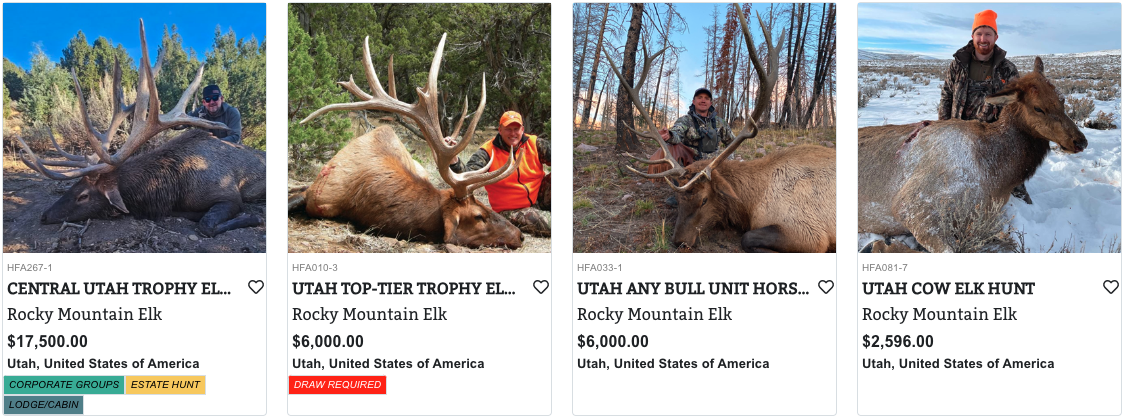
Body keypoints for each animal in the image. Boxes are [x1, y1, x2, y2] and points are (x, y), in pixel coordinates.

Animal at [16, 19, 265, 238]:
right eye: (74, 186)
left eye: (83, 196)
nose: (44, 215)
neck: (172, 188)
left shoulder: (229, 195)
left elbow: (207, 225)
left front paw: (253, 218)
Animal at [612, 4, 836, 253]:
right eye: (678, 200)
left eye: (704, 200)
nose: (680, 241)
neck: (751, 203)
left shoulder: (811, 234)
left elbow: (747, 237)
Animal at [858, 57, 1087, 253]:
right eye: (1038, 107)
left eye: (1062, 100)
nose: (1080, 141)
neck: (996, 175)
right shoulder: (911, 206)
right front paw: (879, 245)